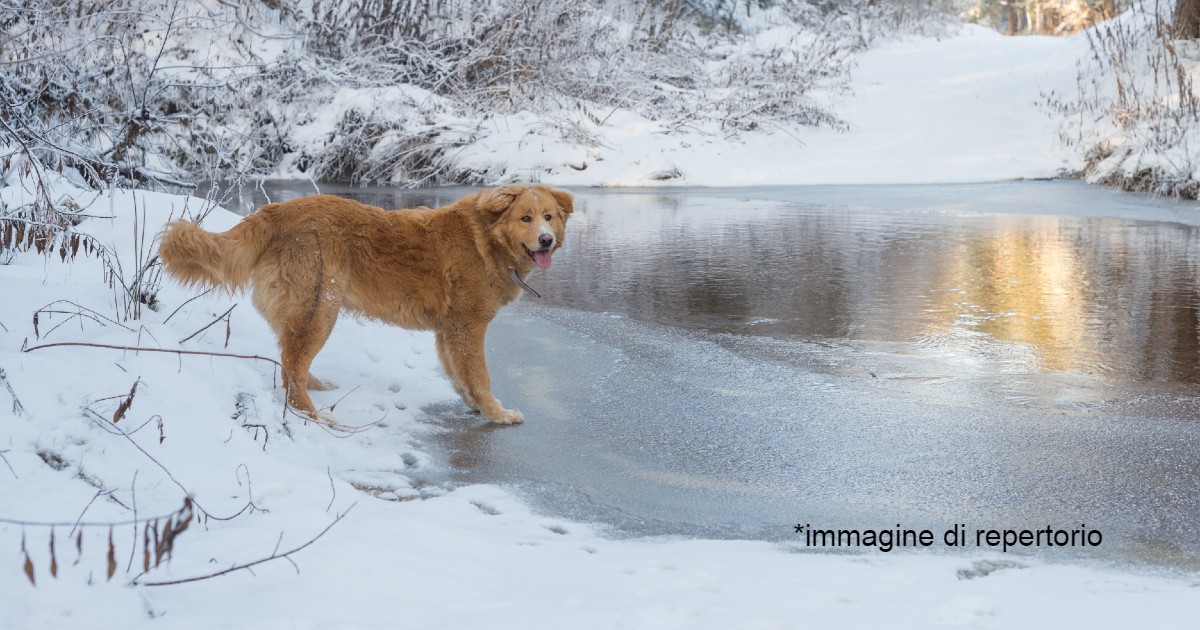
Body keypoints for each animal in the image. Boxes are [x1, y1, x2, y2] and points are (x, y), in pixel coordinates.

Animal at [158, 184, 571, 424]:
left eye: (548, 217)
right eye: (526, 218)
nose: (546, 240)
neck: (484, 238)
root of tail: (276, 210)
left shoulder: (448, 333)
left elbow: (461, 377)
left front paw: (474, 405)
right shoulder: (466, 327)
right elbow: (480, 377)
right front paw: (496, 413)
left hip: (308, 312)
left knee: (291, 358)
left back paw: (315, 386)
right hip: (320, 308)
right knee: (291, 368)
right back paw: (313, 415)